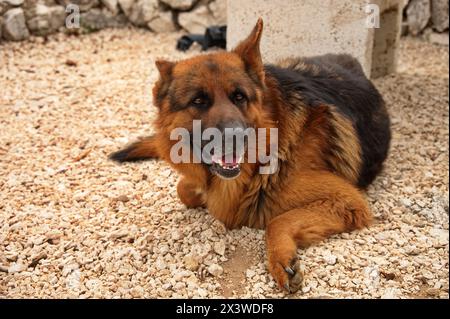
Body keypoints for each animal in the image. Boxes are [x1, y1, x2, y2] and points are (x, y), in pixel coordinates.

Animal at [110, 18, 390, 294]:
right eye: (199, 100)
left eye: (239, 96)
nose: (234, 137)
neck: (267, 153)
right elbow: (185, 190)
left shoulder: (346, 201)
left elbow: (276, 221)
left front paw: (281, 259)